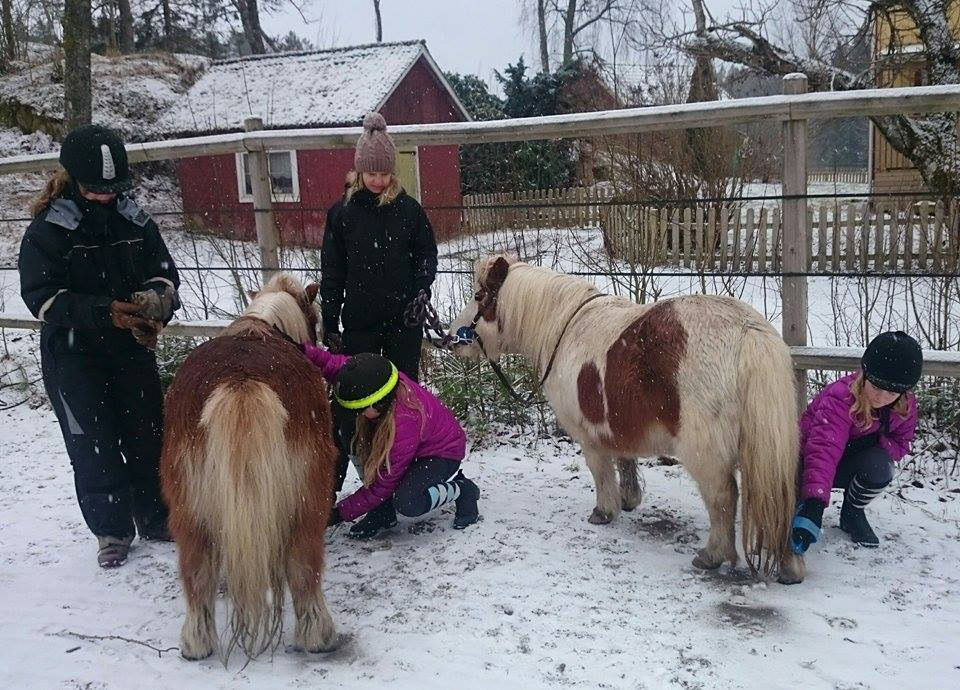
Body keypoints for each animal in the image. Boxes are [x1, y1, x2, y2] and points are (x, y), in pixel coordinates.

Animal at [158, 272, 338, 660]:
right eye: (315, 319)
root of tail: (240, 379)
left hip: (188, 509)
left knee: (197, 572)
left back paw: (196, 644)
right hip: (307, 504)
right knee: (303, 568)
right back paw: (319, 637)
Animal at [450, 255, 804, 584]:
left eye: (480, 297)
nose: (452, 338)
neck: (566, 330)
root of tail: (747, 331)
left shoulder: (589, 437)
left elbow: (601, 472)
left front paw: (604, 511)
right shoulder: (615, 422)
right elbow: (625, 460)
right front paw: (630, 499)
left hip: (706, 453)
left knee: (723, 497)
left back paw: (712, 555)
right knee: (781, 496)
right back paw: (790, 567)